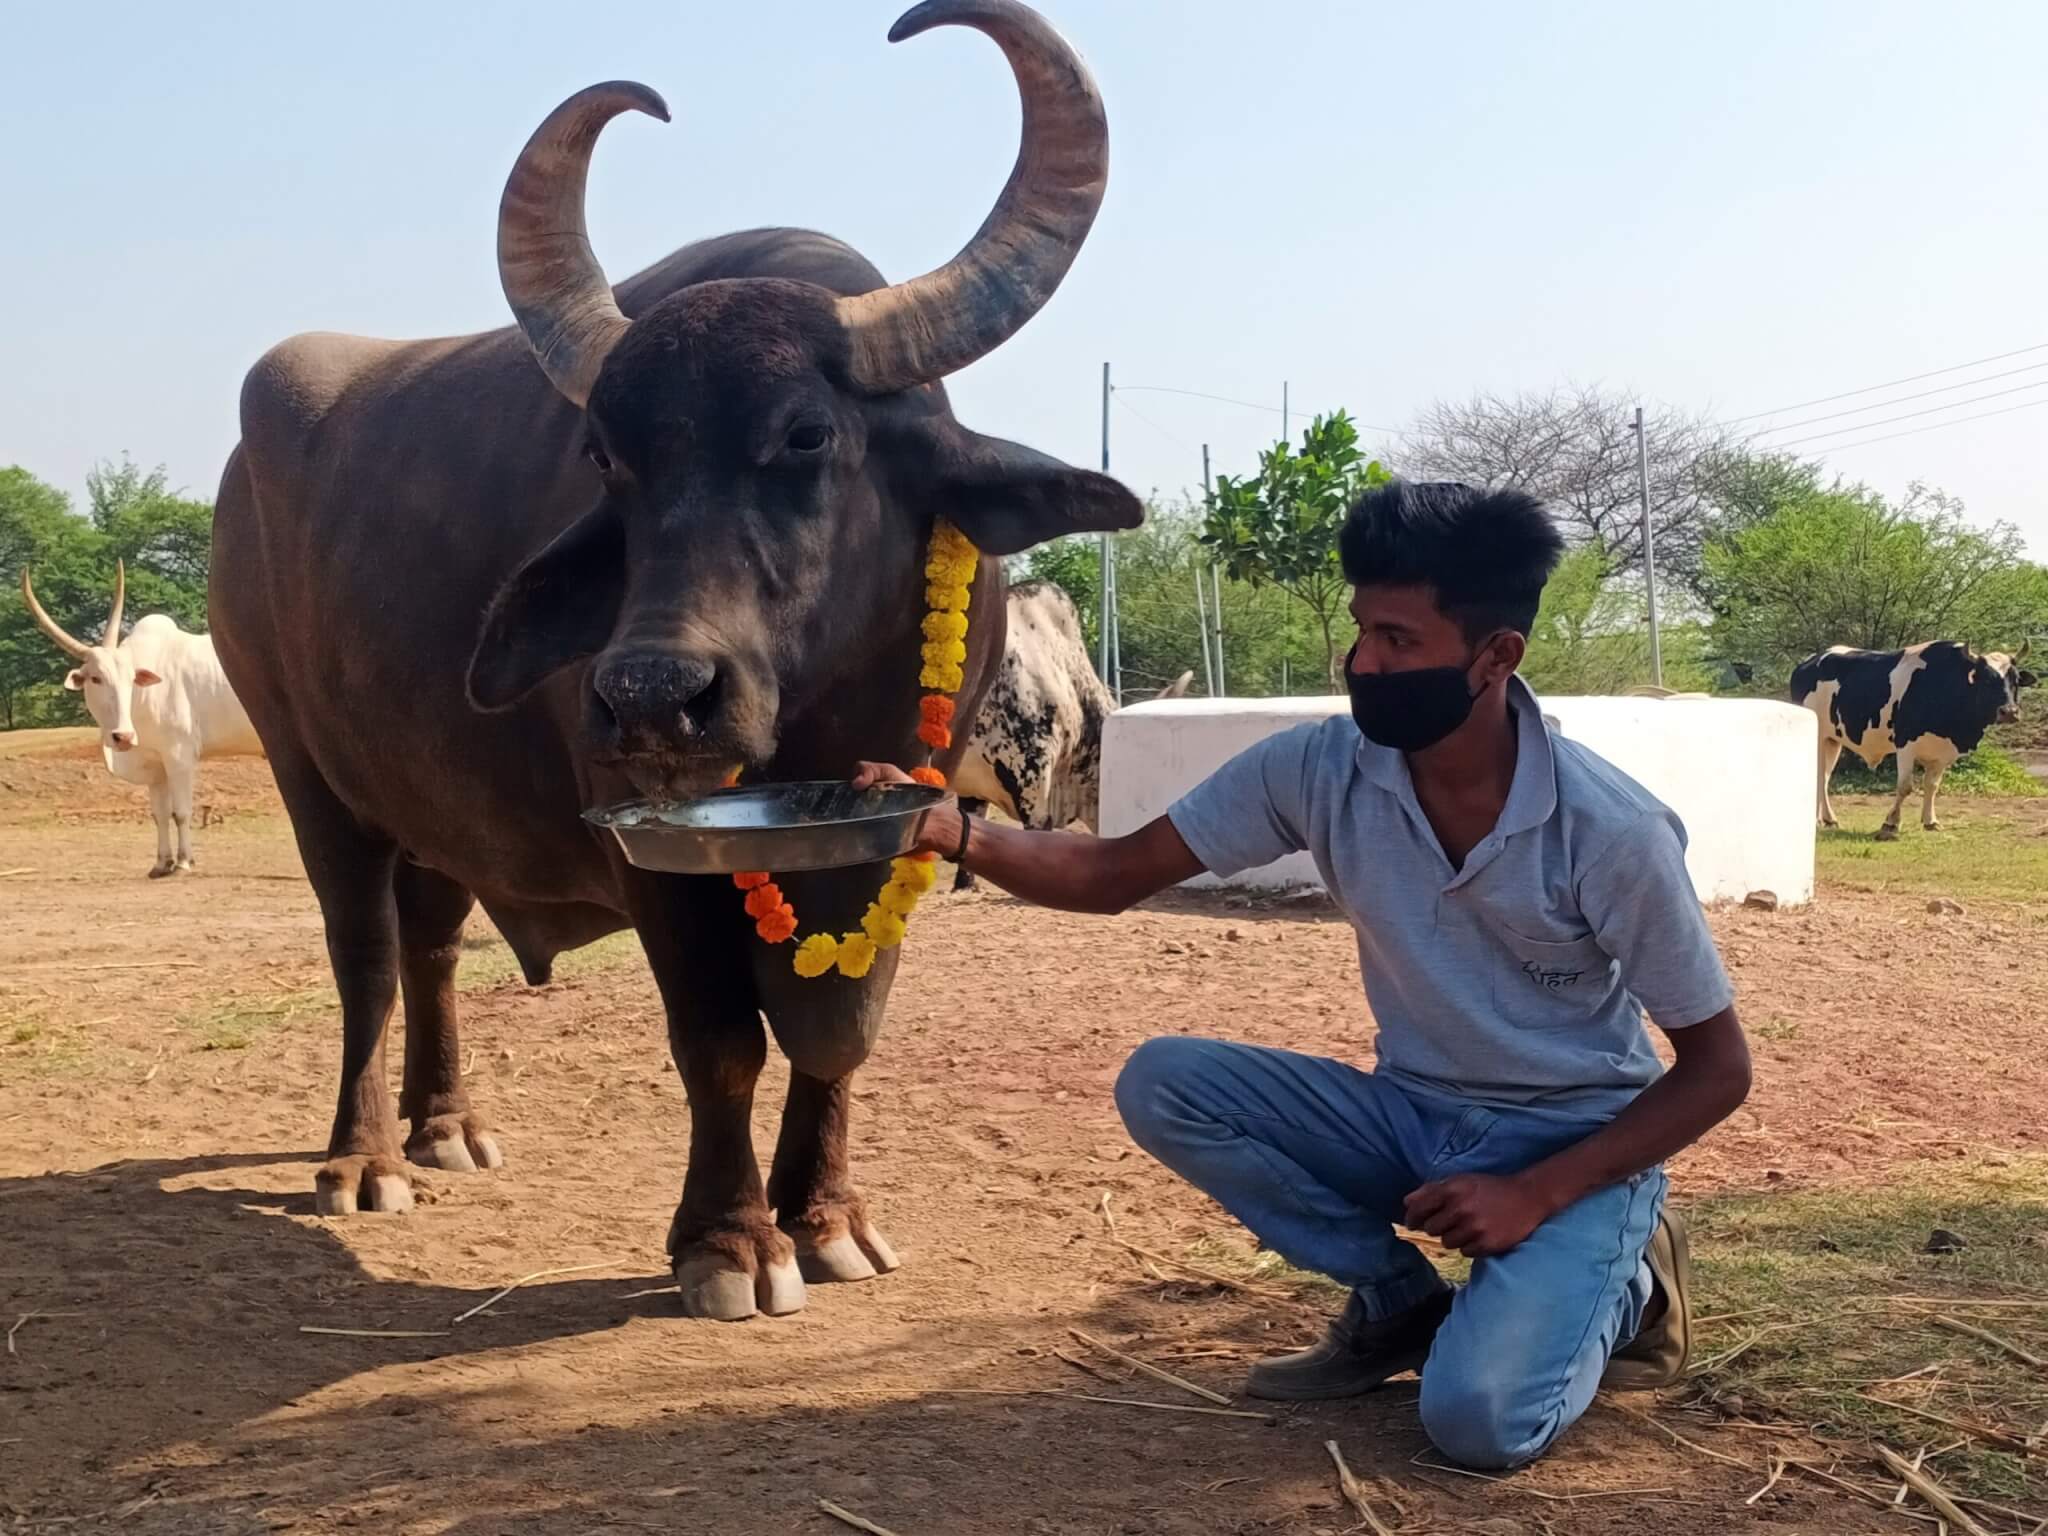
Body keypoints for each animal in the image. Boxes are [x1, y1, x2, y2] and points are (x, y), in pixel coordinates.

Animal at [19, 565, 264, 876]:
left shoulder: (180, 756)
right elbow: (160, 815)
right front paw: (161, 863)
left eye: (130, 678)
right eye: (96, 678)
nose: (122, 737)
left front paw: (183, 861)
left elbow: (181, 812)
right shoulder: (154, 764)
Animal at [1794, 647, 2031, 847]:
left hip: (1832, 740)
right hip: (1818, 737)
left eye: (2016, 680)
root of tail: (1809, 661)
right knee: (1818, 776)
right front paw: (1890, 825)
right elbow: (1905, 787)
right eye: (1987, 680)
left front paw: (1931, 821)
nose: (2009, 712)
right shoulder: (1905, 746)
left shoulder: (1943, 753)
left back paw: (1828, 819)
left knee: (1824, 778)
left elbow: (1932, 786)